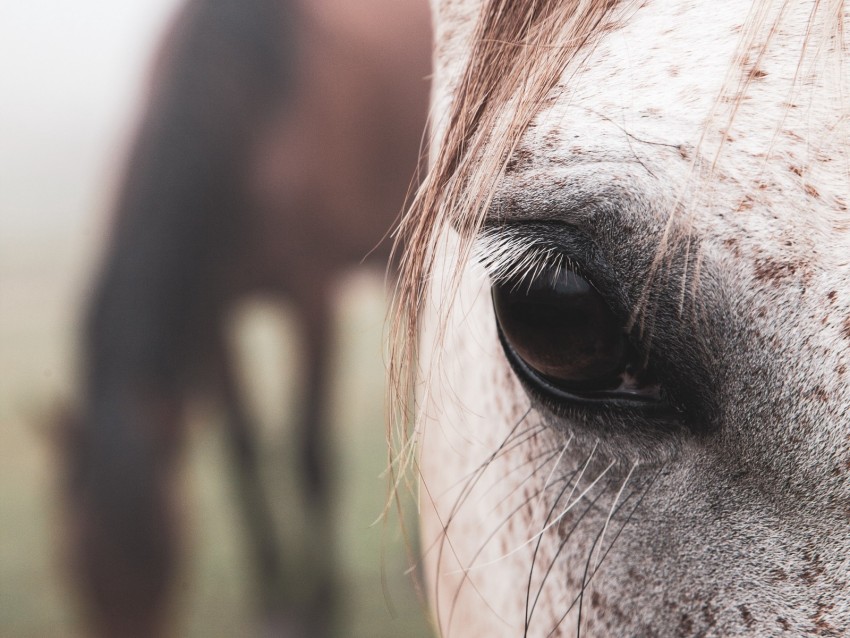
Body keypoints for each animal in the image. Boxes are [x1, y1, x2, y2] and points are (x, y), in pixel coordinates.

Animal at [64, 0, 430, 636]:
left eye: (165, 557)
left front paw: (321, 605)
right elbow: (242, 452)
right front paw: (273, 597)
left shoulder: (311, 296)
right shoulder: (213, 311)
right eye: (76, 569)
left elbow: (309, 451)